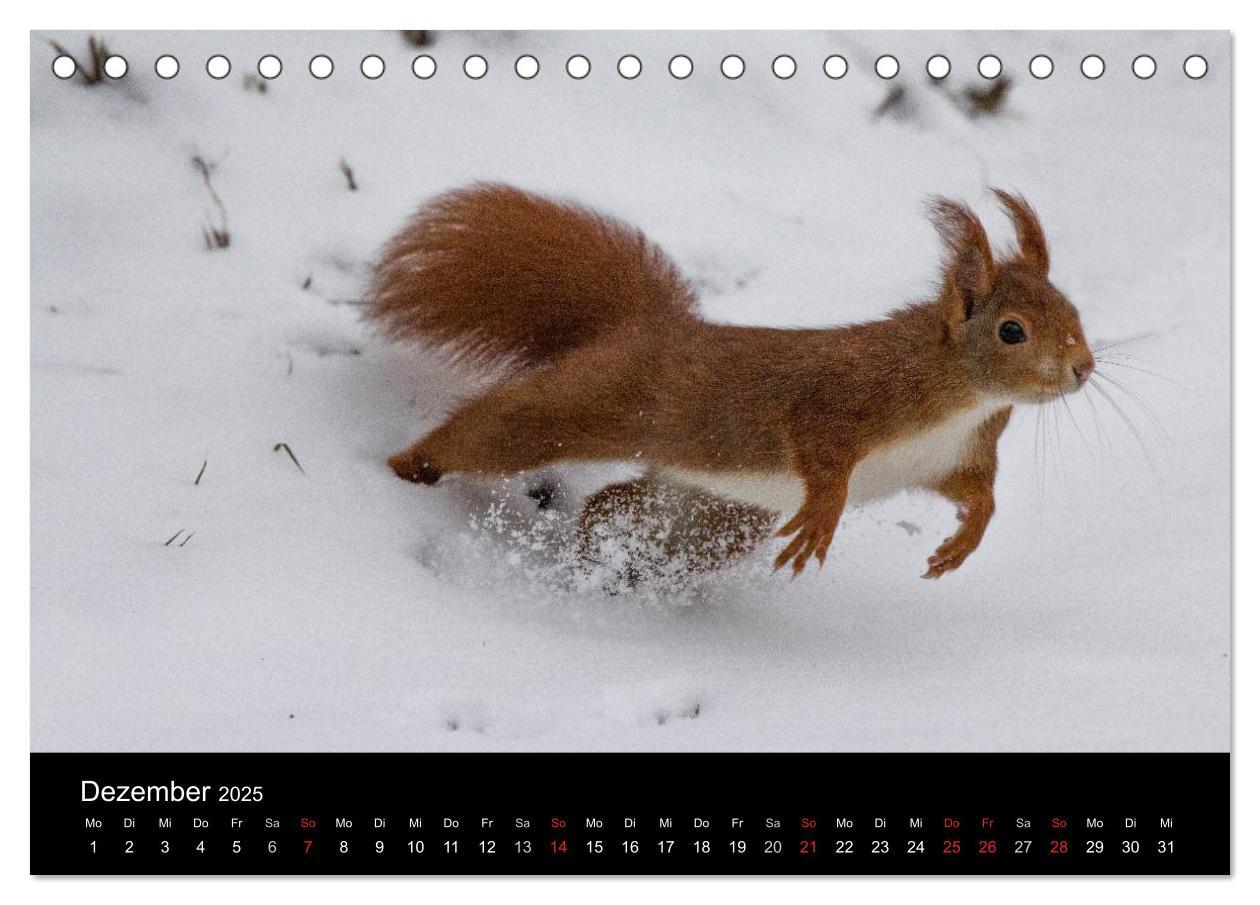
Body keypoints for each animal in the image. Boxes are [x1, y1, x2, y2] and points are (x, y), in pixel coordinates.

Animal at [370, 184, 1093, 577]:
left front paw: (962, 542)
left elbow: (977, 496)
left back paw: (615, 559)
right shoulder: (849, 394)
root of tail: (646, 325)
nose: (1083, 368)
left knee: (614, 505)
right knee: (492, 428)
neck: (966, 396)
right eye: (1011, 331)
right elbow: (820, 449)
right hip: (596, 402)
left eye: (1074, 311)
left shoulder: (955, 457)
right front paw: (824, 516)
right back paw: (404, 469)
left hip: (713, 509)